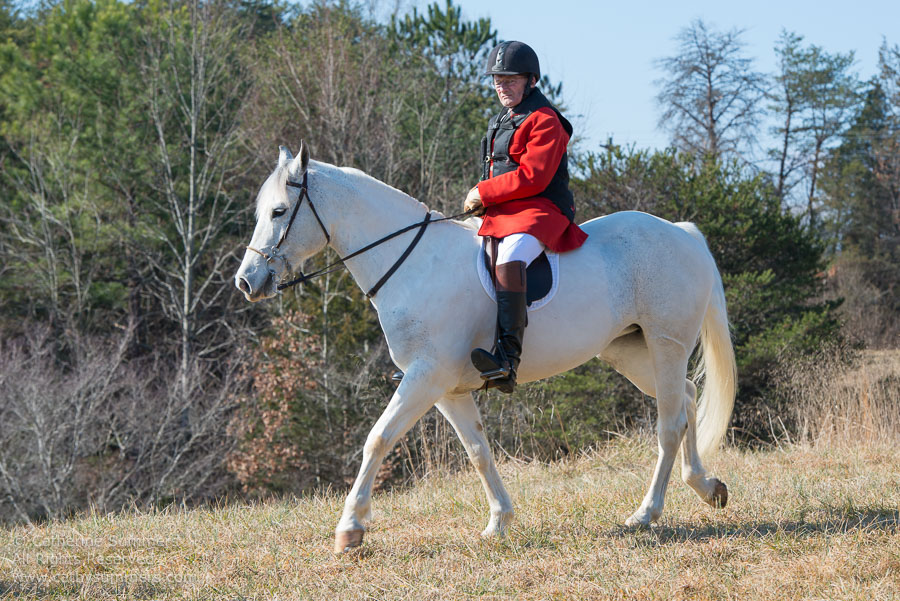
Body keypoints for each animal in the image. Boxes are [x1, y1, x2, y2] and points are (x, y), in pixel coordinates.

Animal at [236, 144, 736, 552]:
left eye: (279, 212)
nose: (246, 282)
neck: (413, 263)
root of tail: (681, 233)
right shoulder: (447, 389)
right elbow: (478, 450)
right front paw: (500, 521)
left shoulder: (425, 376)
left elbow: (378, 438)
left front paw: (350, 529)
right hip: (629, 351)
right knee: (687, 399)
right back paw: (706, 486)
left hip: (666, 344)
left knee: (669, 423)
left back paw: (646, 513)